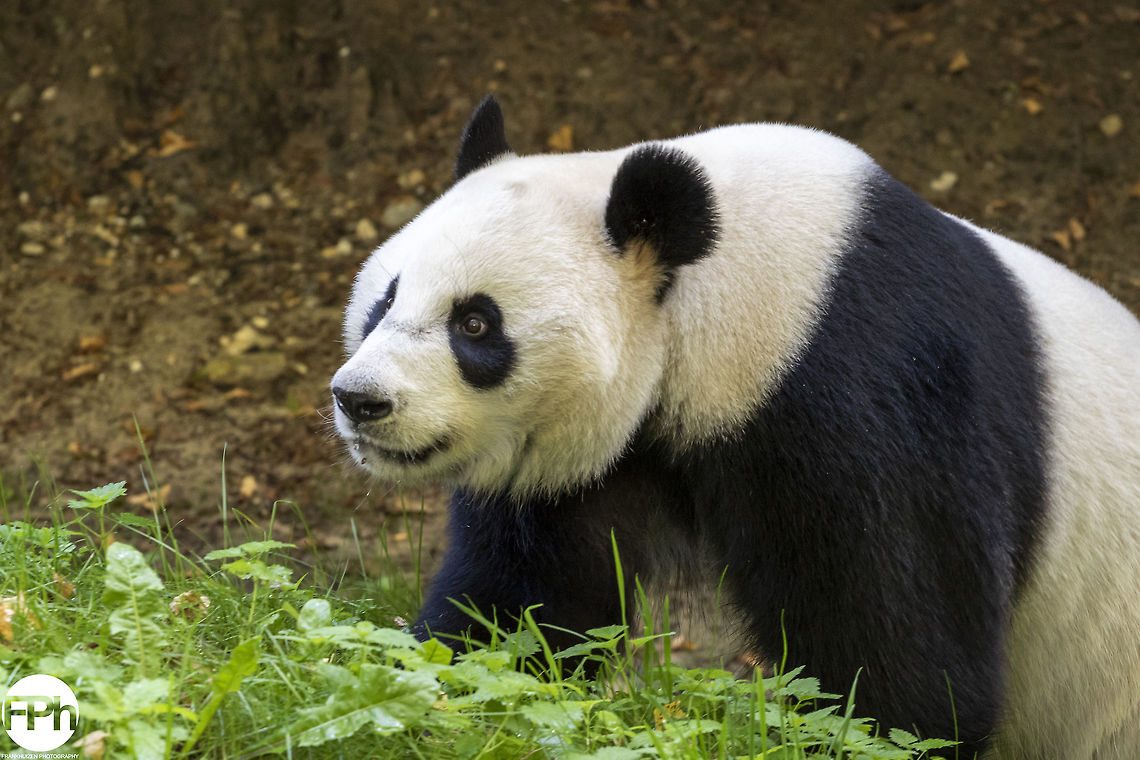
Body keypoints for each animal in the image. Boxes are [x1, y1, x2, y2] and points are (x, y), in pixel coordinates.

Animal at [330, 96, 1140, 758]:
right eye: (386, 298)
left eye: (475, 323)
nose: (359, 399)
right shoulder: (597, 458)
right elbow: (528, 599)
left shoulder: (869, 396)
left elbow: (903, 652)